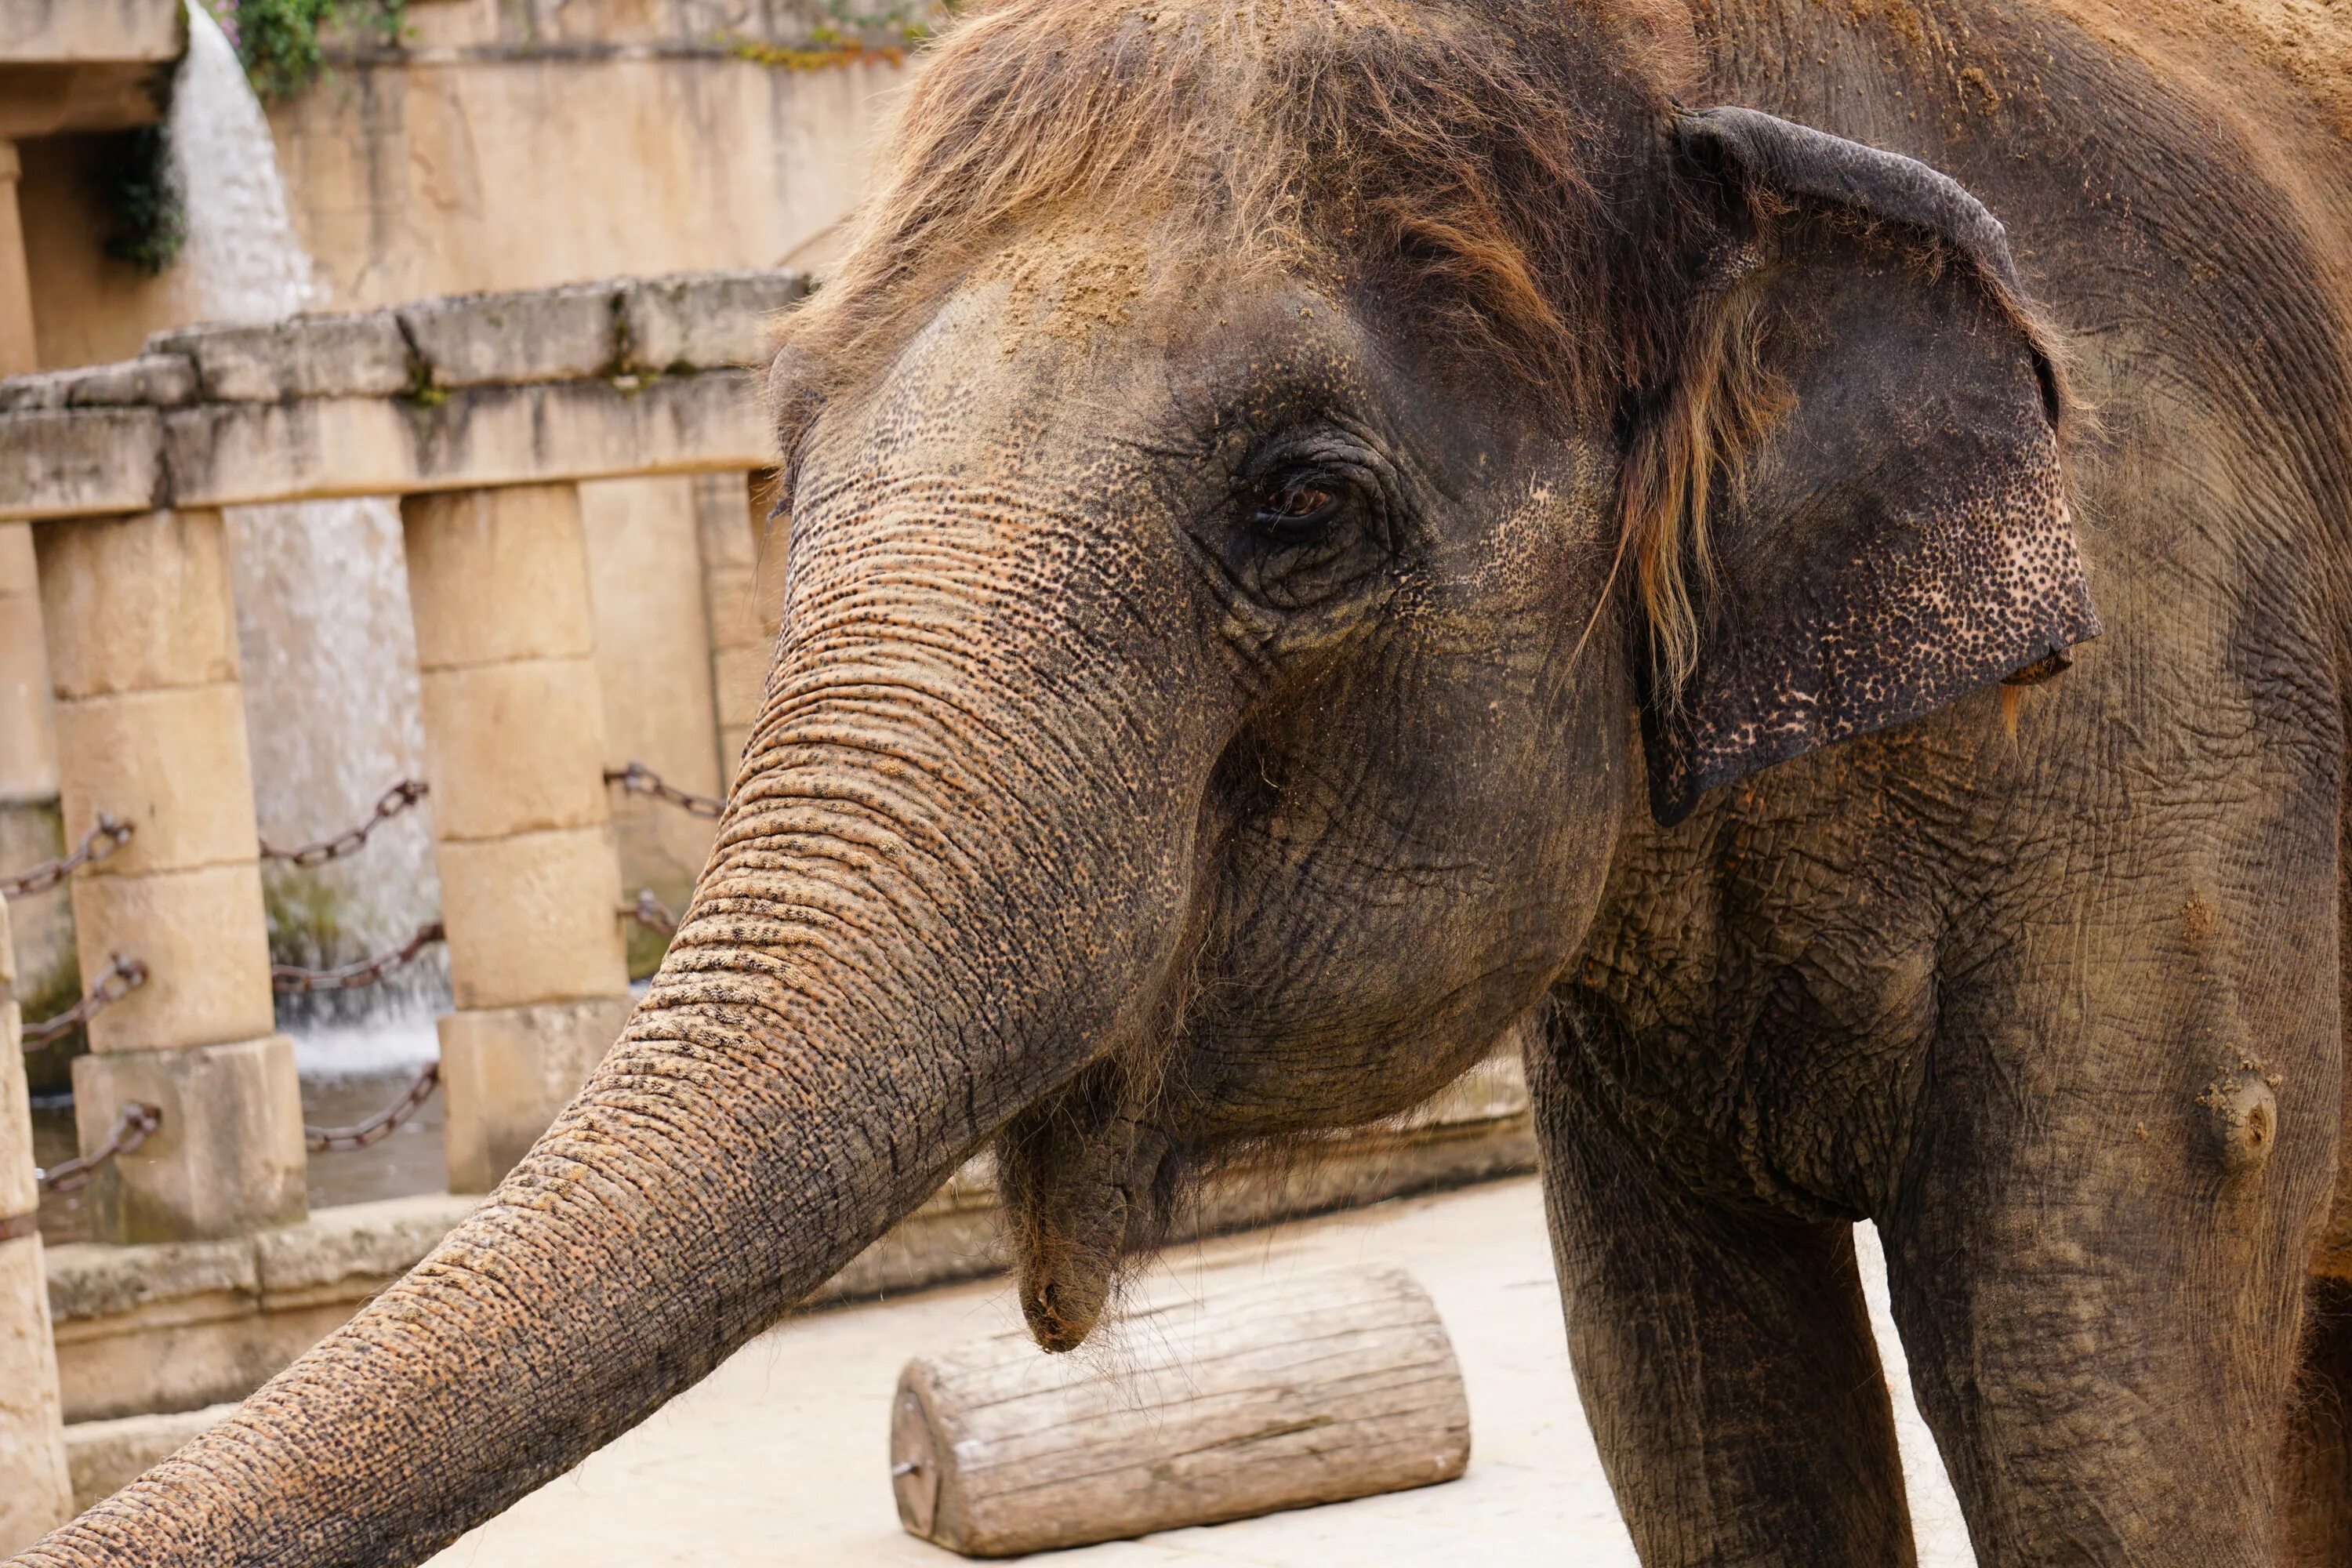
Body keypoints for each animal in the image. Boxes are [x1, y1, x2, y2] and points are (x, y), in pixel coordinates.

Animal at [18, 0, 2352, 1561]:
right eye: (781, 431)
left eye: (1300, 505)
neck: (1700, 54)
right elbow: (1694, 1397)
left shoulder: (2174, 753)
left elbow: (2088, 1402)